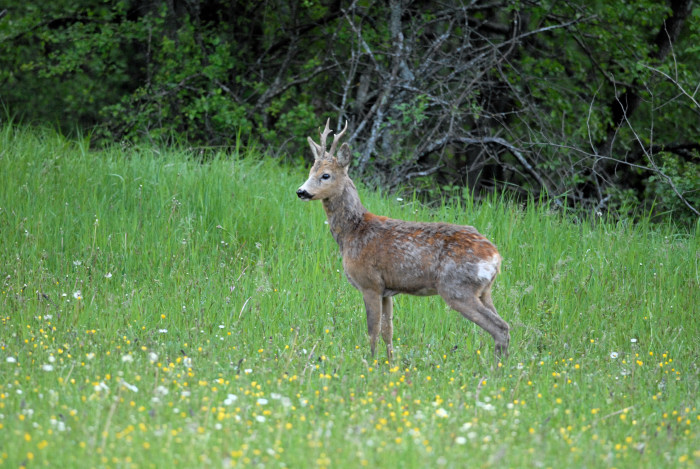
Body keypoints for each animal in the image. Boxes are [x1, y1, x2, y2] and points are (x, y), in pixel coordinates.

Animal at [296, 119, 508, 360]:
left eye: (326, 175)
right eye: (311, 171)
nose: (301, 191)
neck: (352, 232)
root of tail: (495, 256)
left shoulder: (369, 283)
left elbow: (372, 330)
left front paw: (370, 362)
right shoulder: (387, 290)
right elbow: (388, 331)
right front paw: (390, 362)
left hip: (457, 287)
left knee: (499, 327)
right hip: (484, 290)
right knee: (505, 324)